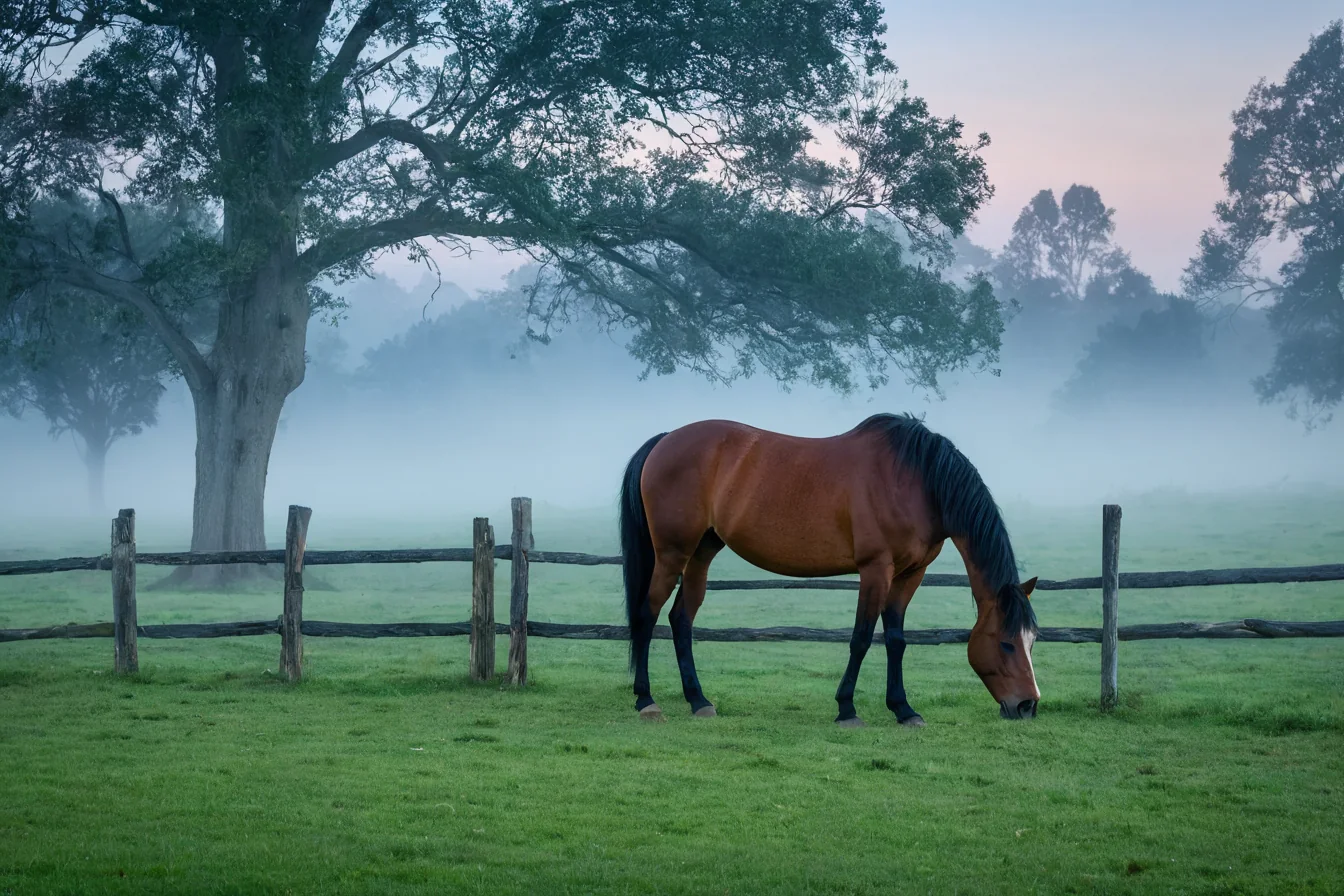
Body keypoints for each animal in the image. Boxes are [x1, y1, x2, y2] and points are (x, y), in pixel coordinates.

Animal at [618, 413, 1040, 727]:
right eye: (1006, 642)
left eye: (1032, 640)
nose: (1027, 706)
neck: (916, 482)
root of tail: (666, 439)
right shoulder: (876, 569)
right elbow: (861, 638)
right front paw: (847, 709)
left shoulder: (910, 574)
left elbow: (896, 640)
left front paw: (904, 710)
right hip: (672, 553)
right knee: (647, 613)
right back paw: (646, 700)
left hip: (701, 552)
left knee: (681, 618)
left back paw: (698, 700)